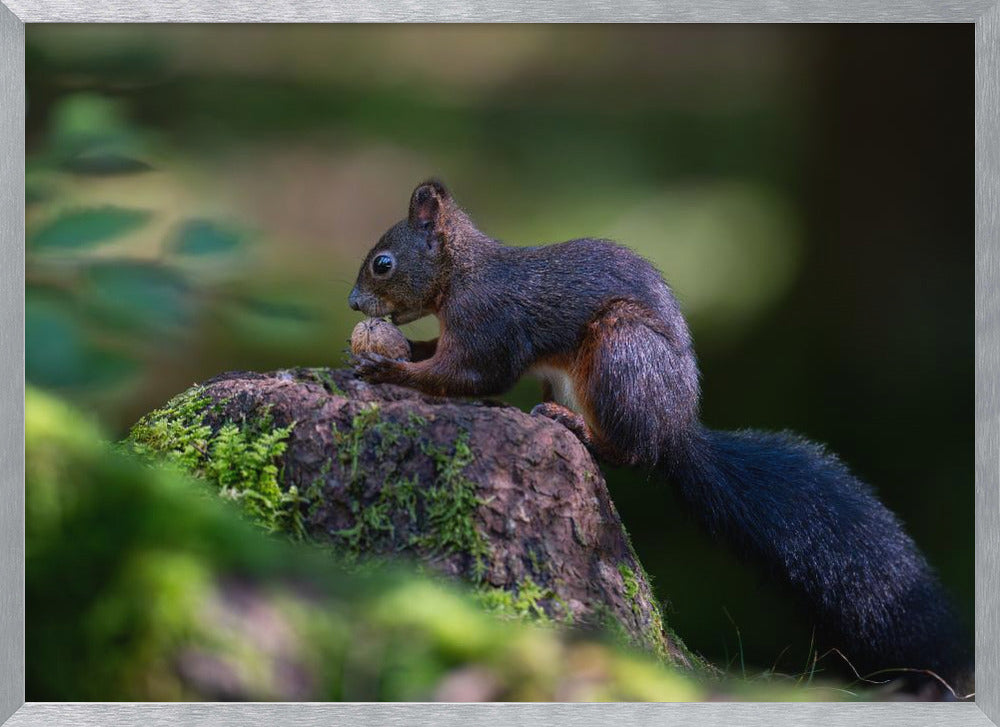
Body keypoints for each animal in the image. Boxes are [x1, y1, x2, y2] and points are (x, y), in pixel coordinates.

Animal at [350, 179, 968, 692]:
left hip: (621, 353)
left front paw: (389, 370)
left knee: (632, 453)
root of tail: (677, 429)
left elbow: (473, 375)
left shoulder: (489, 323)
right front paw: (385, 351)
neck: (463, 273)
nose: (354, 304)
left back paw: (576, 427)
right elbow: (443, 358)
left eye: (382, 263)